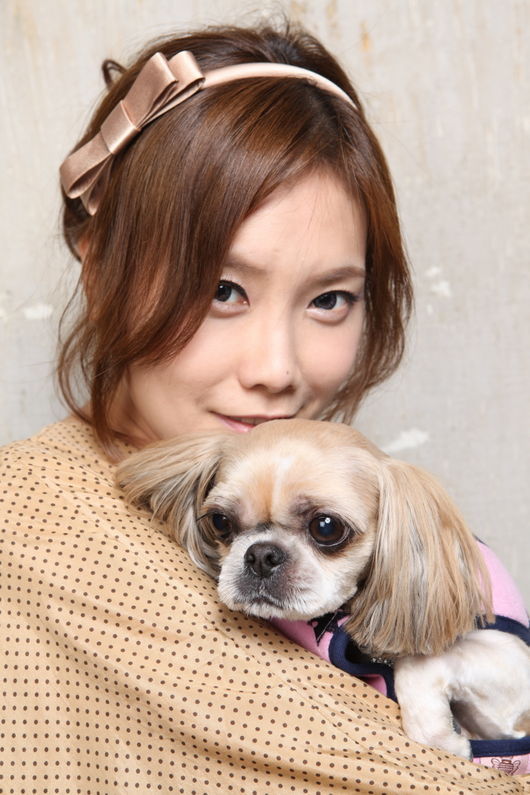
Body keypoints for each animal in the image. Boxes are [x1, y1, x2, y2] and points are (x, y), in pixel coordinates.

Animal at [116, 418, 530, 759]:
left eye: (326, 527)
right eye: (220, 522)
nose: (261, 555)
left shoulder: (512, 665)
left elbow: (417, 660)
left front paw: (440, 737)